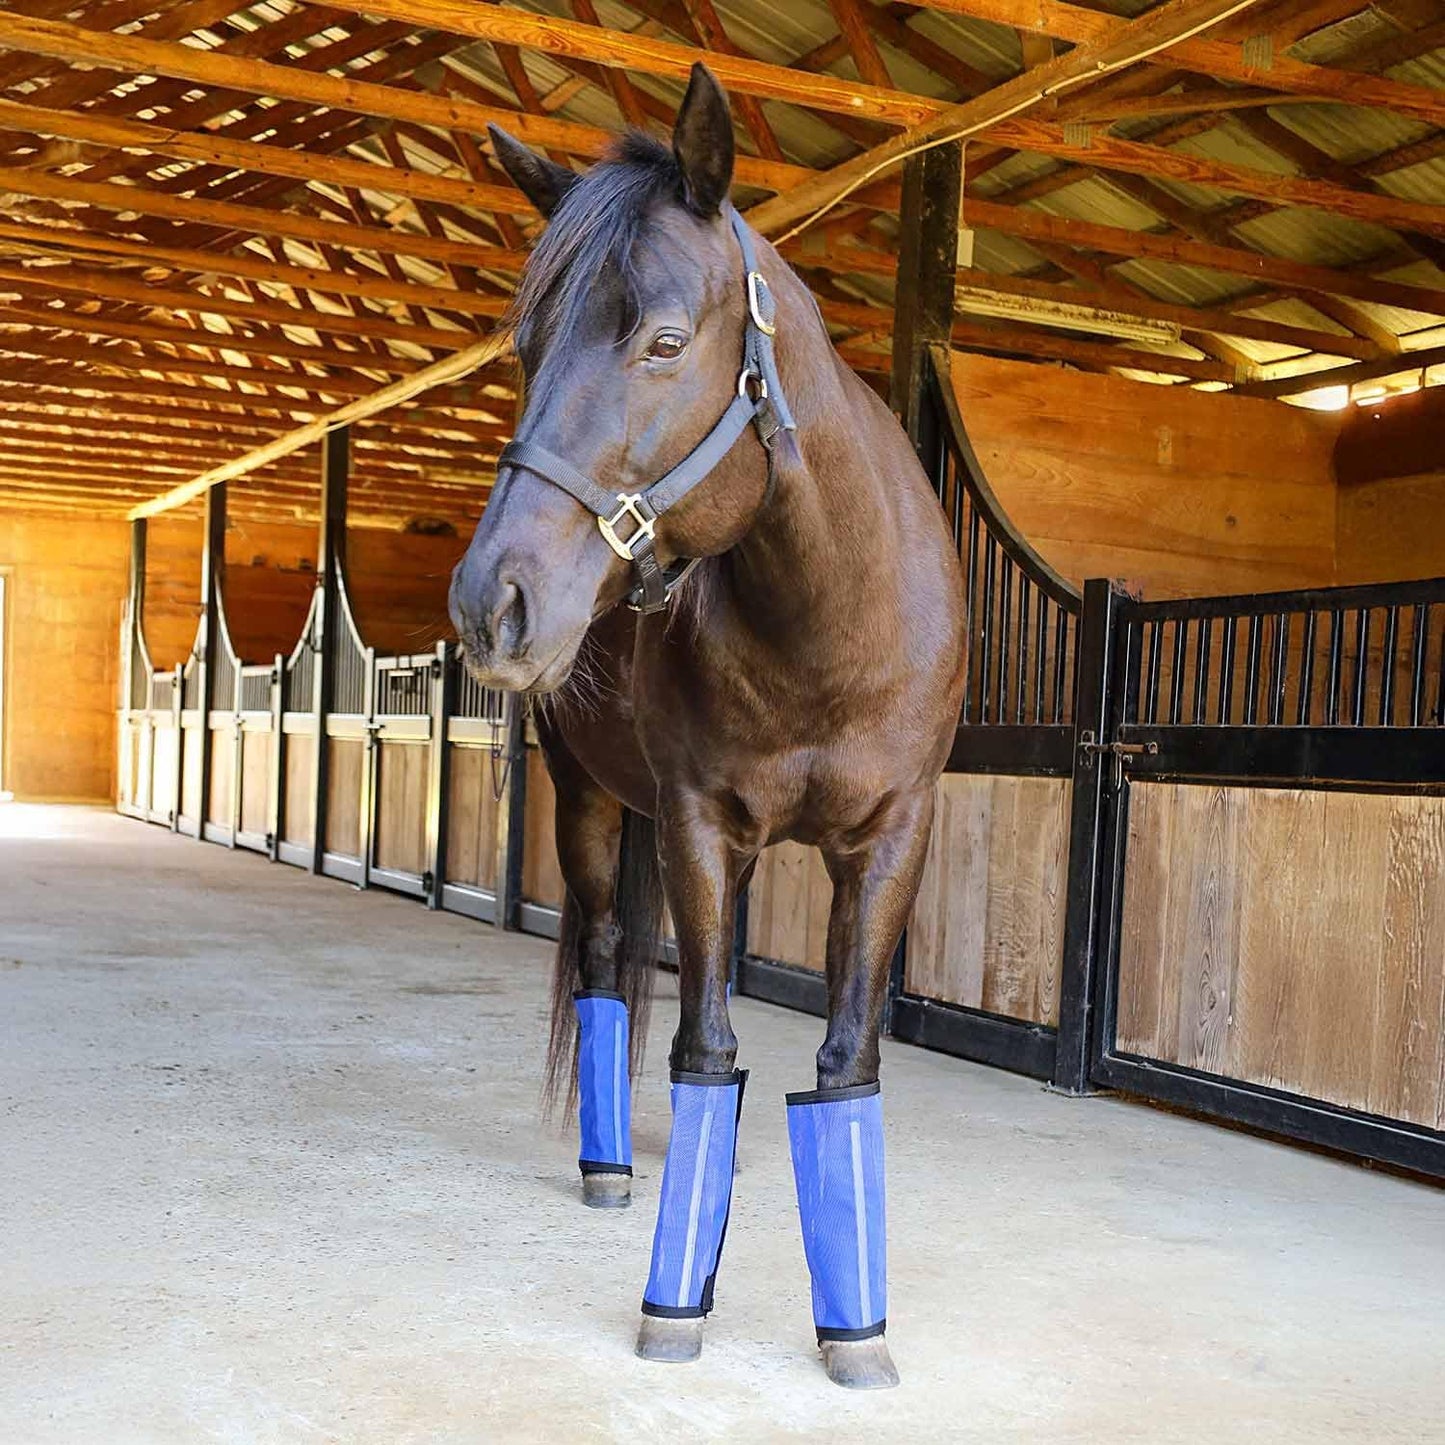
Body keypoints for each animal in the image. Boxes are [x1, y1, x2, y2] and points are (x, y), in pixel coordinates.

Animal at [450, 63, 965, 1390]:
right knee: (599, 968)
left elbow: (841, 1062)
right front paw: (674, 1301)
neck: (827, 624)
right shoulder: (694, 826)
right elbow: (703, 1048)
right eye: (527, 347)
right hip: (591, 807)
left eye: (666, 341)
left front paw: (856, 1331)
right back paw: (609, 1168)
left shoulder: (888, 841)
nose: (490, 602)